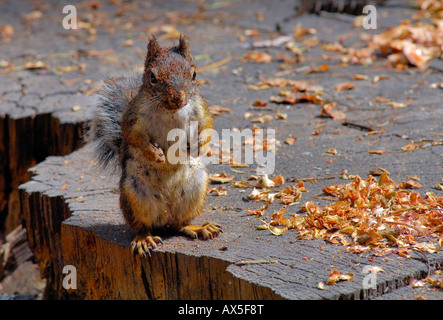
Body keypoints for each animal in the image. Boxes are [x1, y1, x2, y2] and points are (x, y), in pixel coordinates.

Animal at [87, 33, 222, 256]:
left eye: (193, 74)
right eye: (153, 77)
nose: (177, 97)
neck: (171, 110)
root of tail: (165, 216)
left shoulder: (201, 109)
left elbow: (208, 127)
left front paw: (199, 145)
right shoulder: (134, 116)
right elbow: (134, 136)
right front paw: (155, 154)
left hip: (196, 188)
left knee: (180, 224)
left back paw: (198, 227)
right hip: (134, 195)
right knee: (142, 225)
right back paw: (144, 239)